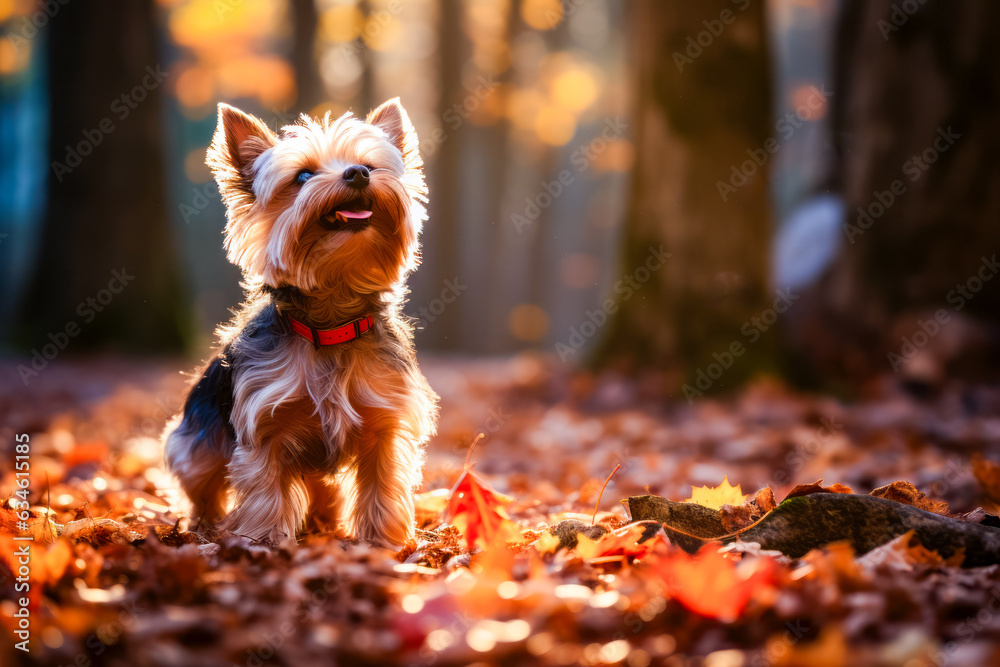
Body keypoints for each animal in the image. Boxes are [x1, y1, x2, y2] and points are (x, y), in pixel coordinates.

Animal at [164, 99, 438, 548]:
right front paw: (263, 541)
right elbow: (266, 487)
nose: (358, 173)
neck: (330, 324)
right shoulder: (263, 425)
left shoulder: (385, 419)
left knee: (324, 490)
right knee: (204, 486)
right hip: (195, 443)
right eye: (303, 176)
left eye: (370, 165)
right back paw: (205, 529)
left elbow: (381, 483)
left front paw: (382, 542)